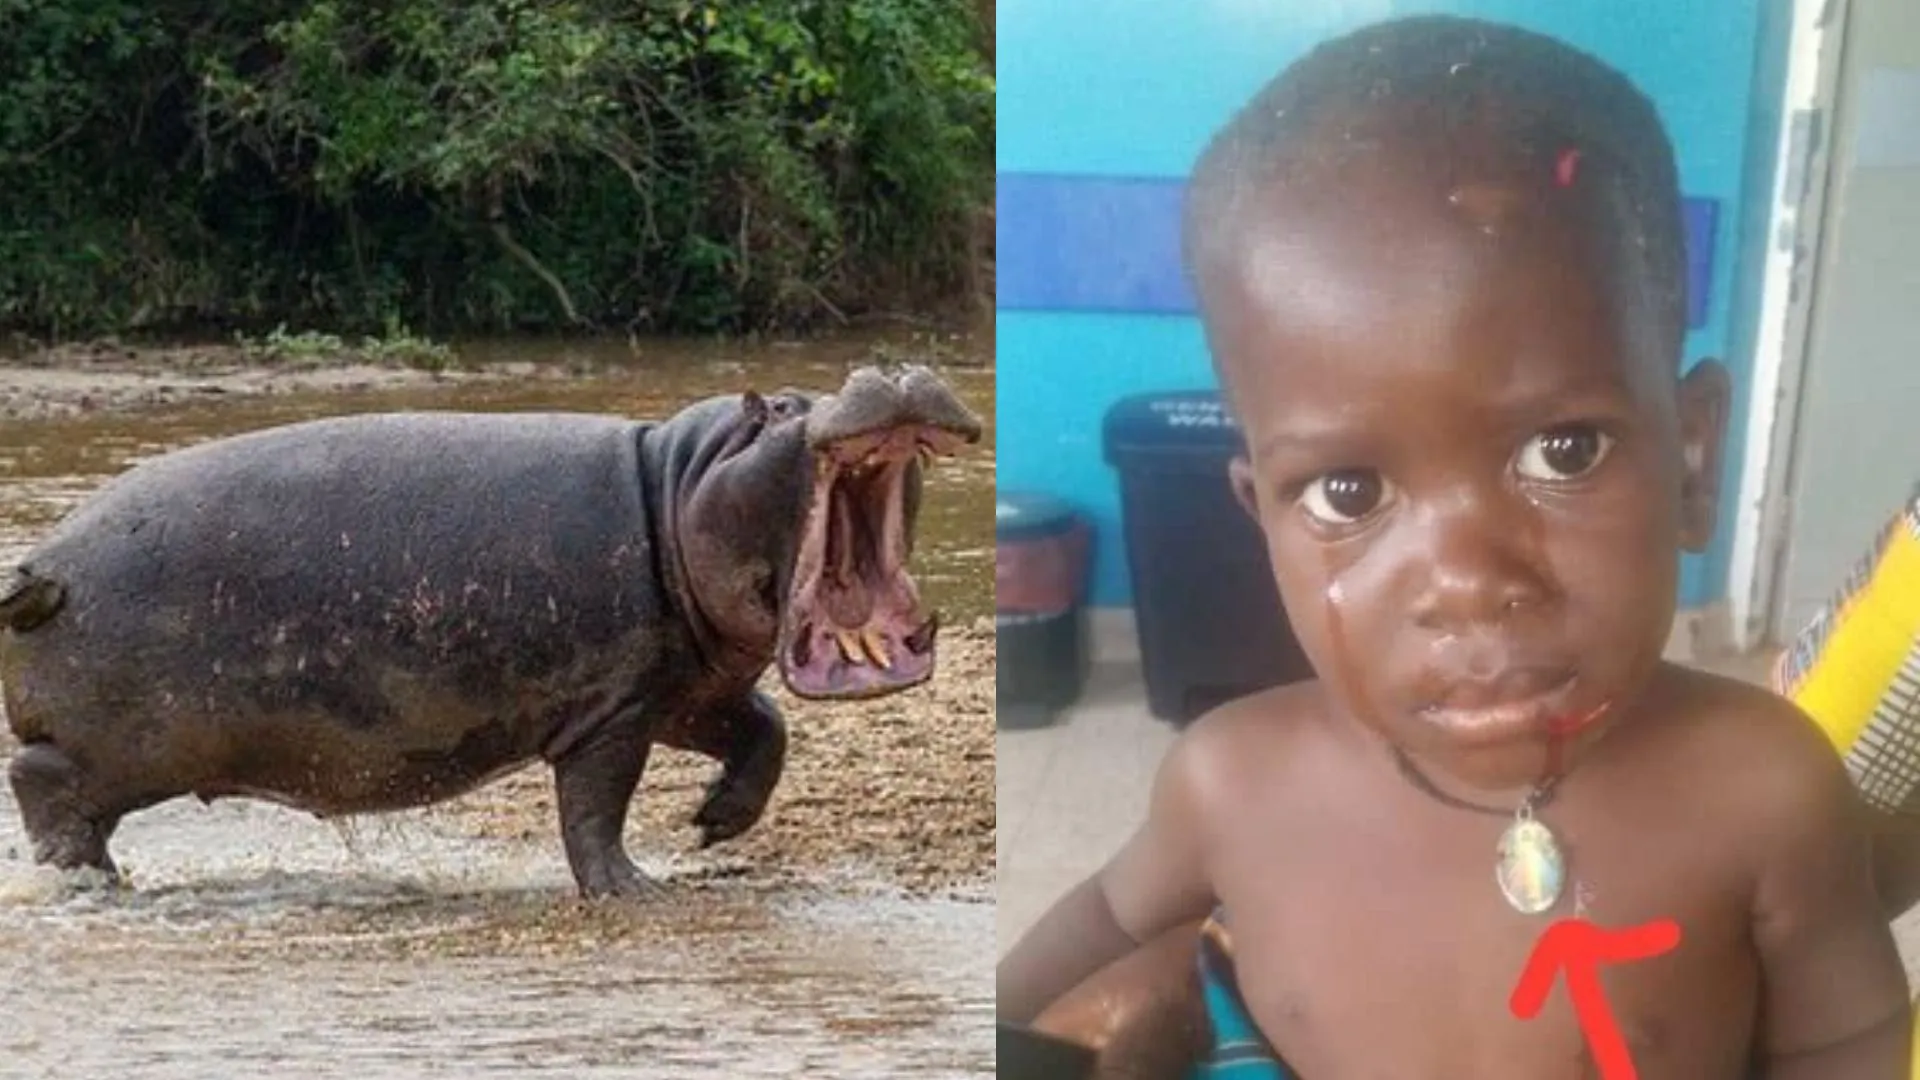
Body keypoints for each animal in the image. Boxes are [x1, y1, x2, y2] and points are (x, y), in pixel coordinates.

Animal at [0, 364, 981, 897]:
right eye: (777, 409)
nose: (892, 367)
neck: (676, 480)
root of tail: (42, 565)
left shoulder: (683, 688)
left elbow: (764, 730)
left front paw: (713, 827)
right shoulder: (613, 709)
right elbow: (595, 808)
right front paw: (635, 891)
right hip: (123, 746)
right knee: (41, 782)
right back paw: (88, 883)